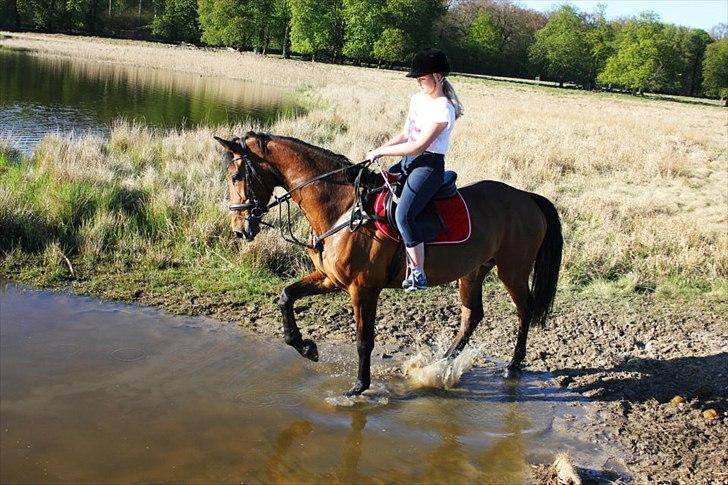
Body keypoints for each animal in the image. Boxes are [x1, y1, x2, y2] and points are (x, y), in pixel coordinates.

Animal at [212, 130, 564, 396]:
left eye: (236, 175)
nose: (239, 229)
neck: (343, 207)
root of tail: (526, 197)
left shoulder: (363, 288)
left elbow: (364, 341)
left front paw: (359, 386)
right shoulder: (330, 278)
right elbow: (286, 296)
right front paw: (306, 347)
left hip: (512, 270)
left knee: (524, 310)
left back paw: (513, 365)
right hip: (474, 270)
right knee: (472, 315)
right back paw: (439, 365)